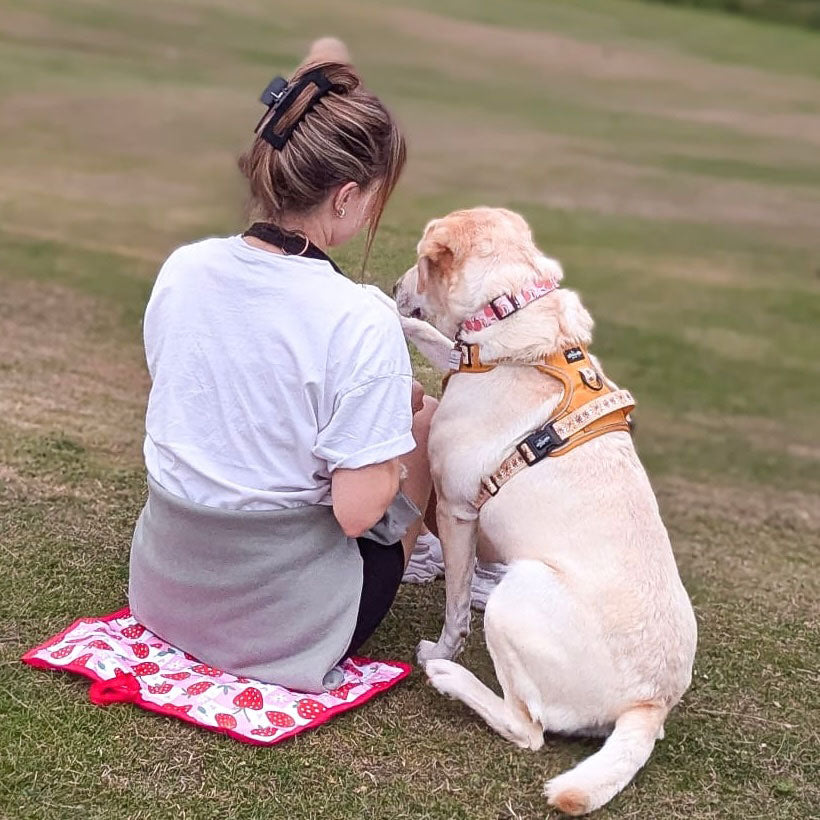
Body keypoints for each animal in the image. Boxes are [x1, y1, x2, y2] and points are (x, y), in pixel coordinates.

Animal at [392, 207, 700, 812]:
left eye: (420, 260)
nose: (394, 286)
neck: (509, 306)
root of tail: (651, 705)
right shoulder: (463, 357)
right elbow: (440, 342)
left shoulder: (458, 512)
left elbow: (457, 606)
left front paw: (442, 647)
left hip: (518, 591)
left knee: (527, 728)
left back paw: (446, 676)